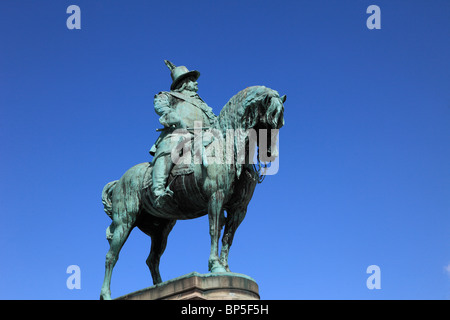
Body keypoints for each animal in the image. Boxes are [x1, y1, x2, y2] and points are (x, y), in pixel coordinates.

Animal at [100, 85, 286, 300]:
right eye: (268, 122)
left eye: (280, 124)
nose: (270, 154)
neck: (227, 148)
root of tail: (119, 181)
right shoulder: (216, 197)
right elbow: (215, 230)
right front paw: (215, 266)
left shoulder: (239, 209)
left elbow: (228, 237)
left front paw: (226, 267)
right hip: (125, 221)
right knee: (111, 256)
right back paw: (106, 294)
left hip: (161, 229)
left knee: (152, 259)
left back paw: (159, 286)